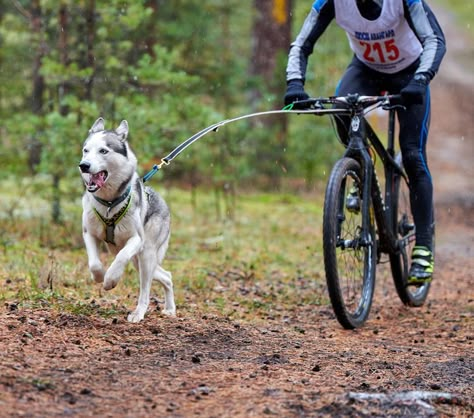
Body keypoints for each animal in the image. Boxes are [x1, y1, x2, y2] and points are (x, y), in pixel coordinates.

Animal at [79, 117, 176, 324]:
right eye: (86, 150)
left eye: (103, 151)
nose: (84, 165)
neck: (109, 203)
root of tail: (164, 203)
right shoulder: (89, 233)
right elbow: (94, 263)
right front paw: (99, 277)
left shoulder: (136, 240)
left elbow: (120, 258)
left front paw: (110, 280)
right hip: (140, 262)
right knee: (167, 276)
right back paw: (170, 308)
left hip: (146, 255)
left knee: (145, 290)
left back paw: (139, 313)